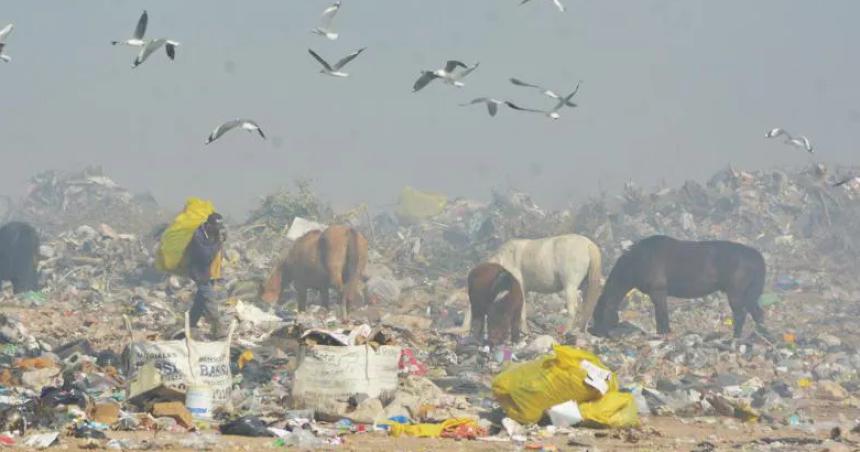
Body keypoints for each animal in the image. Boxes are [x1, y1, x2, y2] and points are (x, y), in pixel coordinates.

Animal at [592, 235, 764, 338]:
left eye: (598, 316)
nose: (595, 333)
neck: (637, 261)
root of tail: (756, 256)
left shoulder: (658, 292)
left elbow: (661, 315)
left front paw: (664, 334)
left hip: (736, 293)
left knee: (740, 315)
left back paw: (736, 337)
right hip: (749, 295)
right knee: (757, 313)